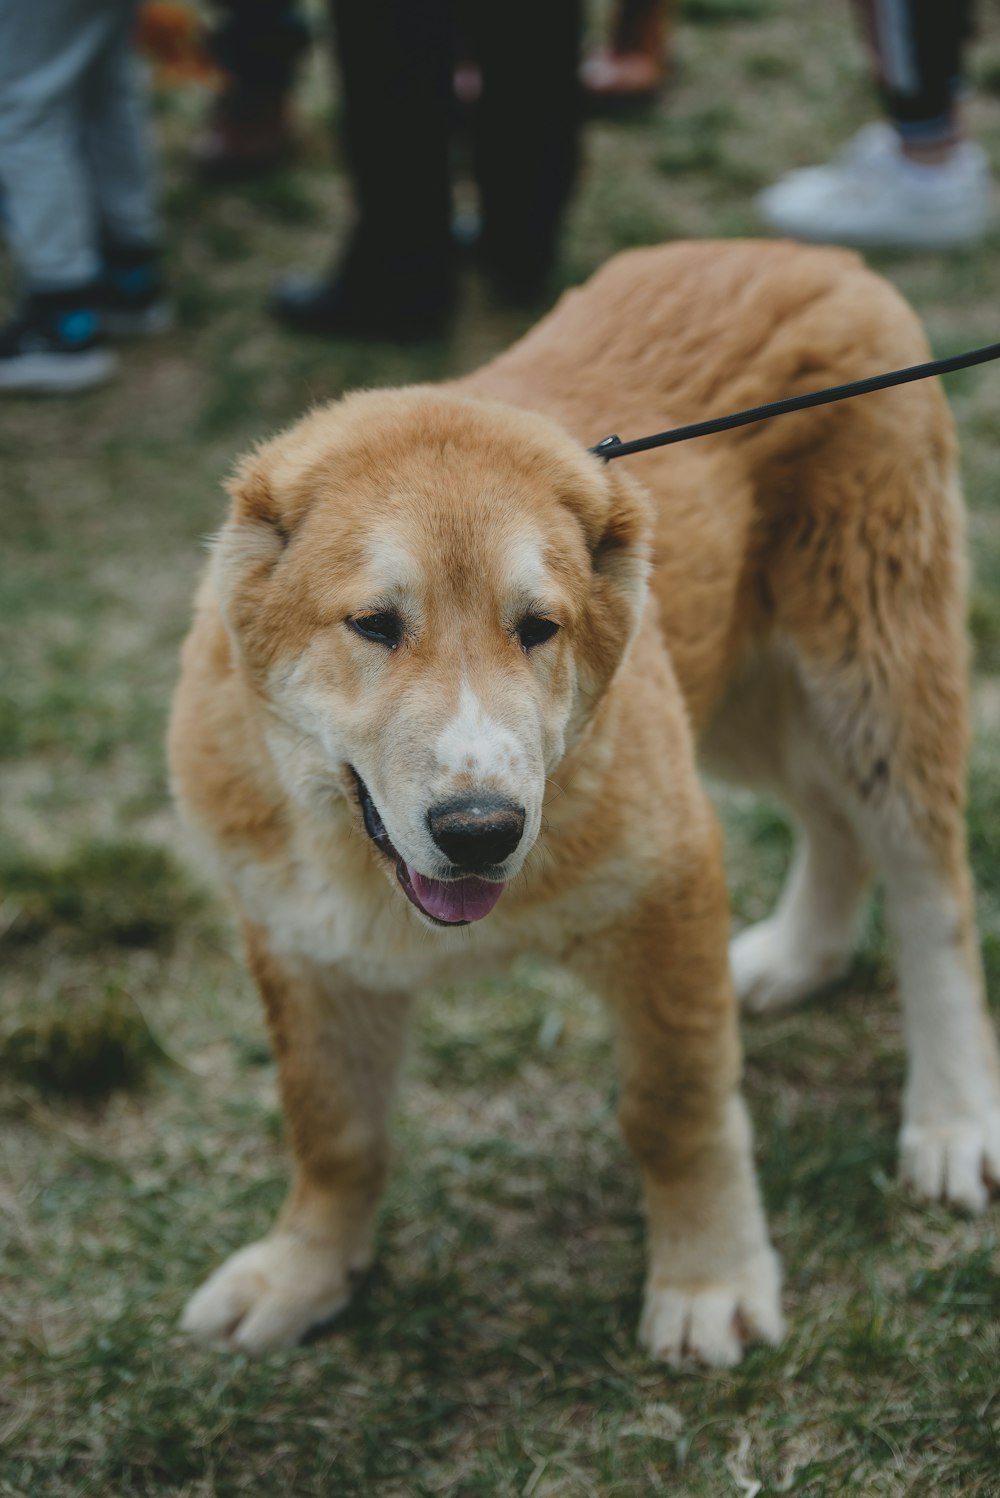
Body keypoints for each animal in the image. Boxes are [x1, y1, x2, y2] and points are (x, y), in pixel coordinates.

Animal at [169, 242, 999, 1372]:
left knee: (929, 885)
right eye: (374, 625)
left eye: (538, 628)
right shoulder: (303, 940)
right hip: (735, 691)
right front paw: (303, 1271)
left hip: (870, 660)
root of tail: (808, 254)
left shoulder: (666, 878)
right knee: (830, 821)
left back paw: (953, 1120)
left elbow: (674, 1106)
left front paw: (707, 1280)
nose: (481, 833)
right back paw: (797, 957)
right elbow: (330, 1125)